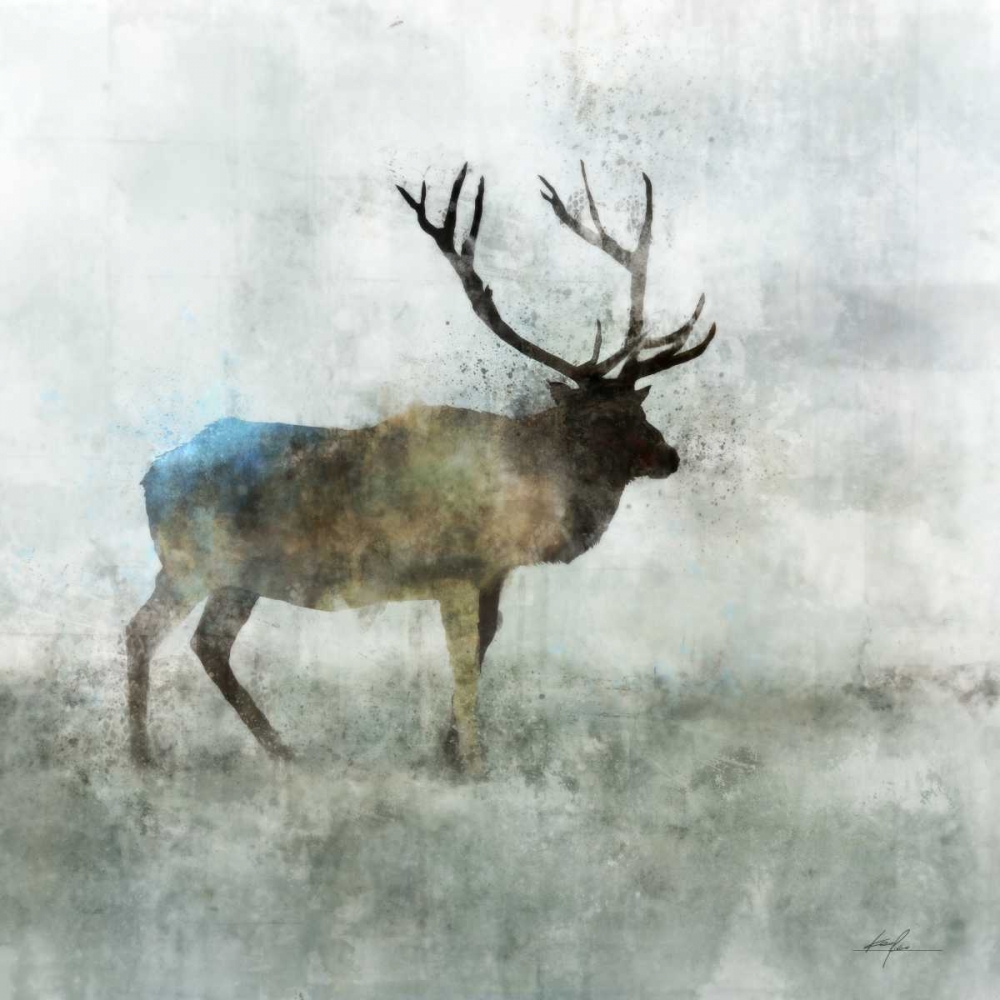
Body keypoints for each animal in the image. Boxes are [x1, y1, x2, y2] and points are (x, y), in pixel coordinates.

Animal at [125, 160, 717, 775]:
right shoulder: (452, 569)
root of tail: (149, 473)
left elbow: (481, 648)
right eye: (601, 418)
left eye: (640, 408)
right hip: (190, 561)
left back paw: (281, 749)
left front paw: (449, 750)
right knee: (144, 630)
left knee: (207, 643)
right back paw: (144, 755)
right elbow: (461, 661)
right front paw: (474, 764)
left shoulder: (491, 573)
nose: (670, 456)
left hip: (236, 575)